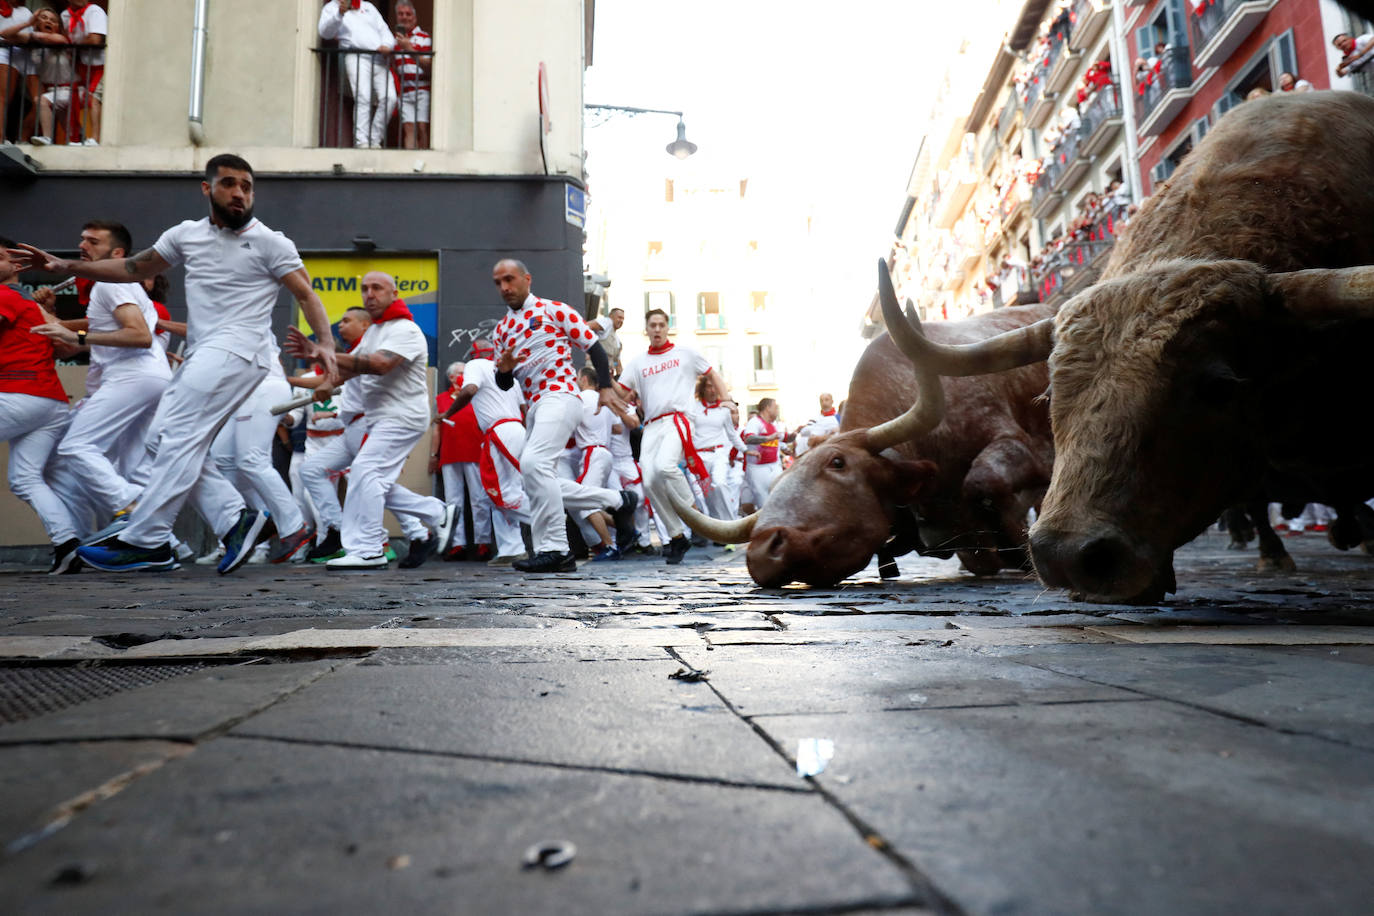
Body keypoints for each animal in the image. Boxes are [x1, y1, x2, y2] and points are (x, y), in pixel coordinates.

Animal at [670, 300, 1055, 587]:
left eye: (838, 462)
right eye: (778, 482)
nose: (763, 551)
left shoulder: (1025, 448)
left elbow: (983, 481)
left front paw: (1022, 551)